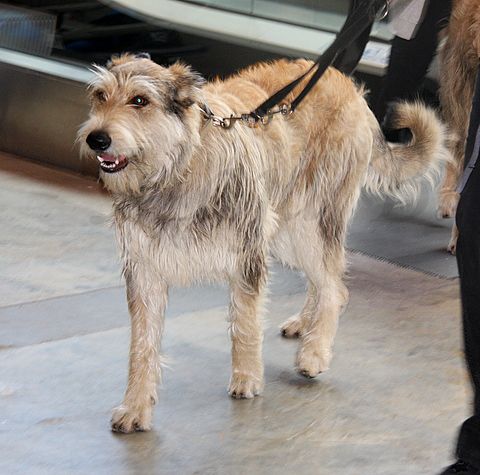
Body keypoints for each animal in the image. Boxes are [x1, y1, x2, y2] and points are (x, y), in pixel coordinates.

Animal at [79, 54, 450, 434]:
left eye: (139, 100)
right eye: (100, 96)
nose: (96, 139)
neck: (175, 172)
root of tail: (349, 85)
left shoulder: (248, 256)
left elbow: (245, 324)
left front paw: (247, 378)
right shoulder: (145, 273)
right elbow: (142, 345)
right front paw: (136, 406)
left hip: (306, 225)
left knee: (334, 288)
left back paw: (314, 352)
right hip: (286, 232)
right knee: (327, 282)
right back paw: (305, 323)